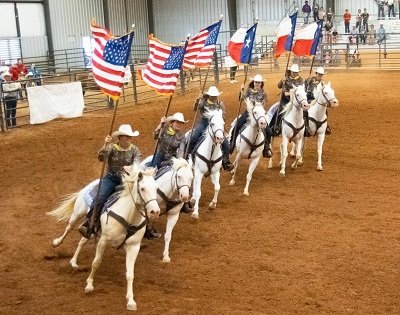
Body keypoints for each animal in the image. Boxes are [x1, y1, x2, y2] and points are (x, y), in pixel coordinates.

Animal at [47, 165, 159, 312]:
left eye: (156, 189)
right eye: (142, 189)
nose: (155, 212)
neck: (129, 217)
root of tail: (93, 183)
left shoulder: (133, 247)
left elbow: (130, 274)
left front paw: (131, 301)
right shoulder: (103, 241)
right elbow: (96, 263)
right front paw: (89, 285)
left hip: (92, 231)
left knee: (82, 240)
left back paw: (74, 262)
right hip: (78, 214)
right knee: (68, 228)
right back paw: (56, 243)